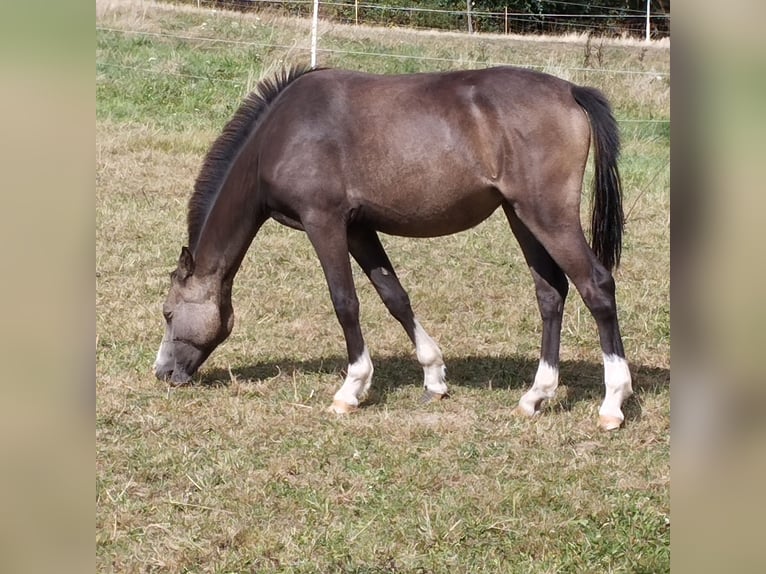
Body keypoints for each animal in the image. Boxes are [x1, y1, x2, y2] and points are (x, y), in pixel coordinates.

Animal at [154, 65, 636, 430]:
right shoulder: (359, 228)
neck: (280, 134)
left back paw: (613, 402)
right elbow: (394, 296)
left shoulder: (323, 222)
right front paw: (434, 377)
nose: (164, 373)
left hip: (549, 217)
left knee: (596, 287)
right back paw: (536, 395)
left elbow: (345, 302)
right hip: (521, 216)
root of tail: (571, 91)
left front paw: (351, 389)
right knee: (551, 295)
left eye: (168, 313)